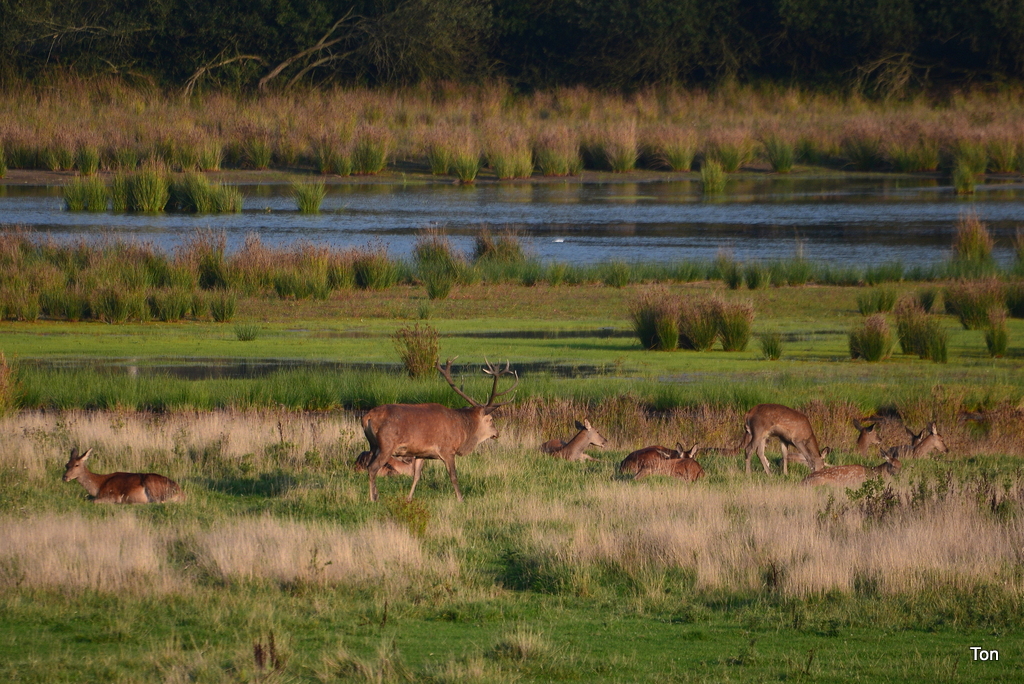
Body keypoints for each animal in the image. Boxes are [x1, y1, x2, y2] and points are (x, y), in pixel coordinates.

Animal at [362, 358, 520, 501]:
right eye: (491, 419)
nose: (497, 433)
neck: (463, 432)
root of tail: (367, 417)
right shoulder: (447, 450)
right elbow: (453, 476)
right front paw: (461, 499)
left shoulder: (421, 453)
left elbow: (416, 476)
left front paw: (408, 498)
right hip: (387, 444)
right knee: (373, 468)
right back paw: (373, 498)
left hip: (373, 445)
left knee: (368, 465)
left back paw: (376, 494)